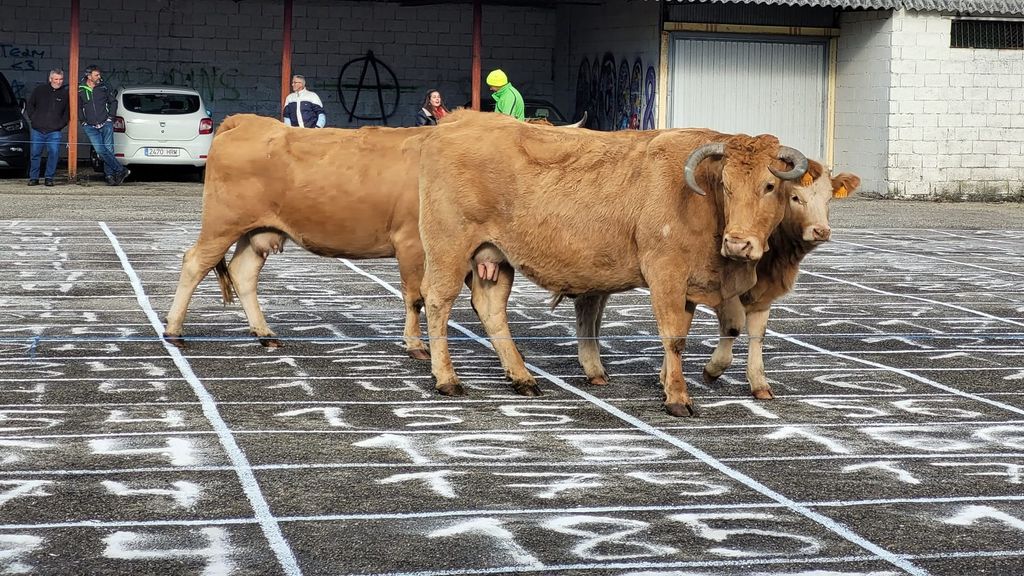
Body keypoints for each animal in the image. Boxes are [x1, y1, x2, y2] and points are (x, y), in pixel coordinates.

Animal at [415, 109, 806, 414]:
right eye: (726, 185)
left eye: (770, 185)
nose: (738, 243)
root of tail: (458, 120)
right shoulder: (665, 274)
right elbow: (674, 337)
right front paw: (678, 398)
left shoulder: (689, 285)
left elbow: (687, 333)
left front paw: (671, 380)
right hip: (449, 248)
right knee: (437, 301)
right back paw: (447, 379)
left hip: (495, 256)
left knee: (491, 307)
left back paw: (522, 378)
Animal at [573, 158, 860, 397]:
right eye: (794, 197)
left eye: (828, 199)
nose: (821, 230)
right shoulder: (725, 290)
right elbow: (731, 327)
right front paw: (711, 370)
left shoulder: (761, 294)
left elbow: (757, 334)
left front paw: (759, 384)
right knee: (589, 307)